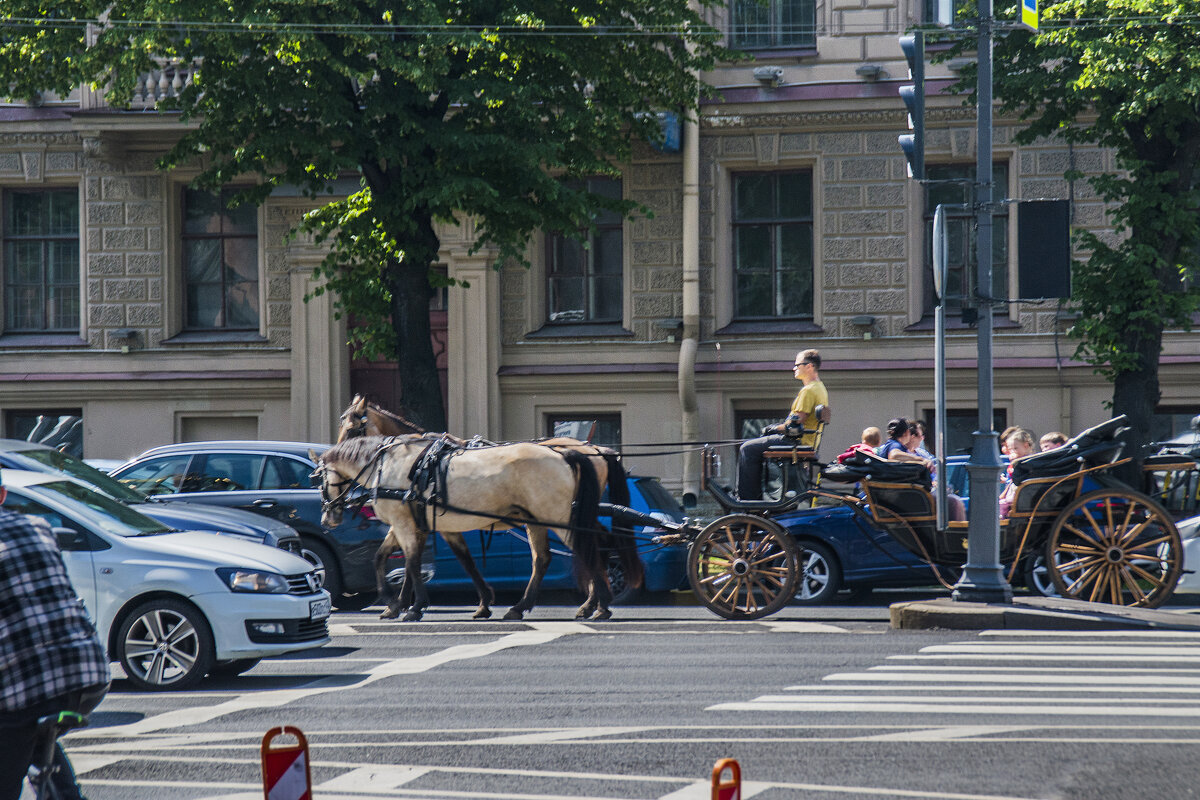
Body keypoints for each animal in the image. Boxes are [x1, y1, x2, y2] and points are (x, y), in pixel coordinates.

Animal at [314, 434, 624, 623]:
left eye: (320, 479)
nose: (327, 518)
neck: (388, 465)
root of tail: (566, 453)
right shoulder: (423, 526)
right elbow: (389, 559)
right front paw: (396, 604)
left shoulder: (403, 524)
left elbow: (412, 564)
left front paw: (412, 606)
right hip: (539, 521)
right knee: (545, 558)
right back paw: (524, 607)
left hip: (558, 518)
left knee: (587, 551)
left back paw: (600, 605)